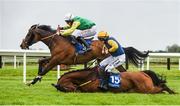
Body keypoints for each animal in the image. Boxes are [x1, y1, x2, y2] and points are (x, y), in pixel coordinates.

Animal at [20, 24, 148, 85]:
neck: (57, 41)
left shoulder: (57, 60)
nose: (22, 45)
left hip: (113, 59)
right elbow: (40, 60)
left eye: (28, 34)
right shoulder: (55, 58)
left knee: (123, 71)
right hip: (100, 60)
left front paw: (33, 81)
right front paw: (37, 78)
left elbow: (45, 69)